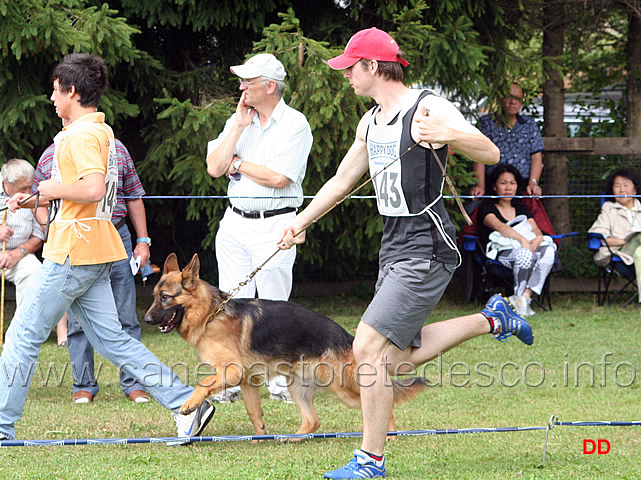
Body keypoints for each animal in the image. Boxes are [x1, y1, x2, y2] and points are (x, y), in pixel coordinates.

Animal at [142, 255, 428, 438]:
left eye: (165, 297)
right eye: (154, 296)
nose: (145, 320)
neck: (211, 314)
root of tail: (347, 337)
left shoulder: (232, 371)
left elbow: (203, 384)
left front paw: (190, 405)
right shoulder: (247, 381)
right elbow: (254, 413)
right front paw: (260, 437)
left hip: (343, 389)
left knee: (382, 403)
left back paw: (388, 435)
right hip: (297, 387)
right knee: (313, 421)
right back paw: (293, 438)